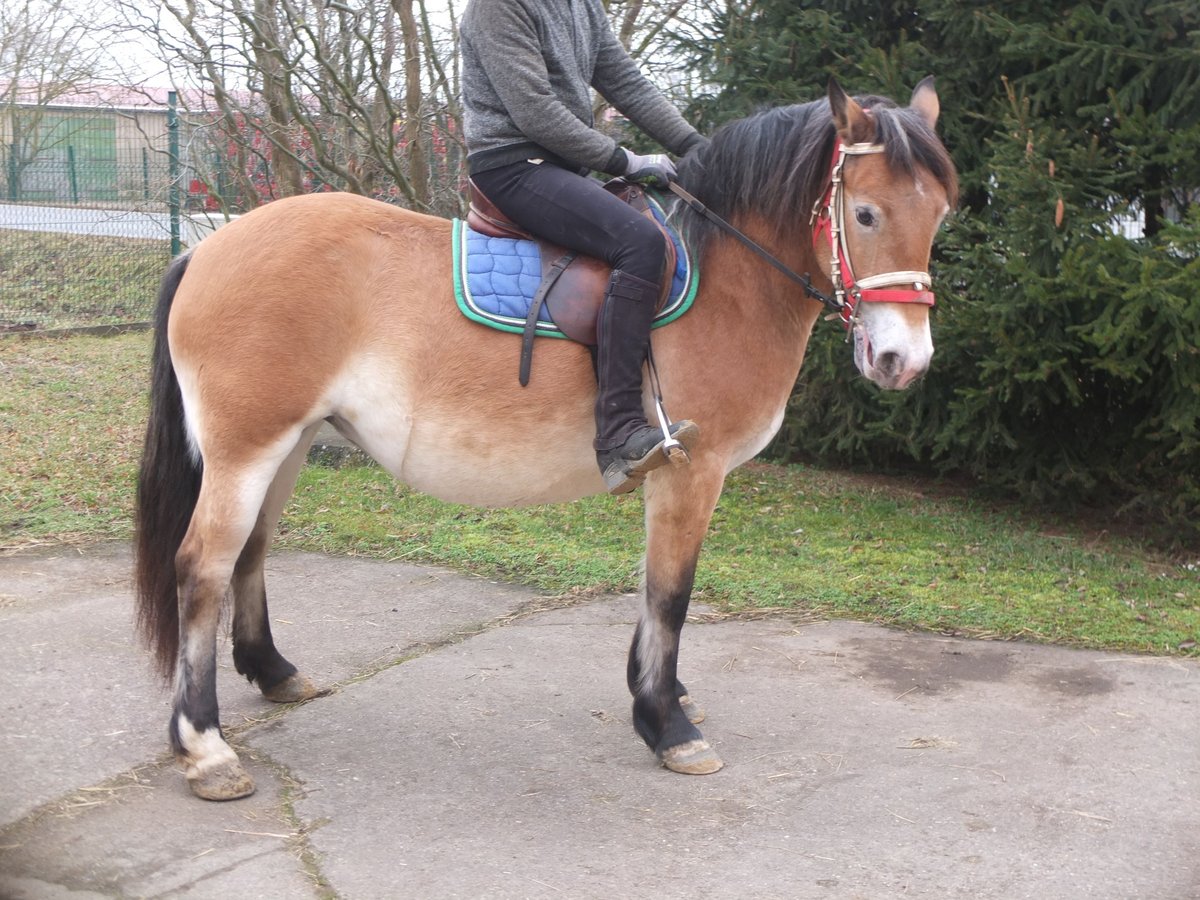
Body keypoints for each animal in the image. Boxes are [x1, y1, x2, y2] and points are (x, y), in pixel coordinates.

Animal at [133, 77, 955, 801]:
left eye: (941, 215)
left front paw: (659, 694)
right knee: (202, 567)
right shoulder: (691, 470)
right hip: (247, 448)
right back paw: (205, 746)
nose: (904, 360)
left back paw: (272, 672)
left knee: (251, 550)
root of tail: (205, 249)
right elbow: (671, 593)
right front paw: (666, 722)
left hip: (292, 441)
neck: (726, 281)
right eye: (867, 214)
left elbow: (651, 588)